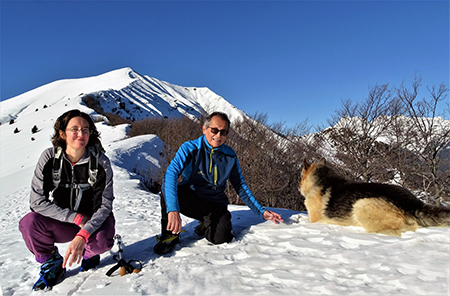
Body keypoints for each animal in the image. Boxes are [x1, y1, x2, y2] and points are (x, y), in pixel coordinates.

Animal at [298, 158, 450, 235]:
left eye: (300, 177)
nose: (298, 186)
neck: (322, 179)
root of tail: (411, 203)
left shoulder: (313, 219)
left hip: (361, 205)